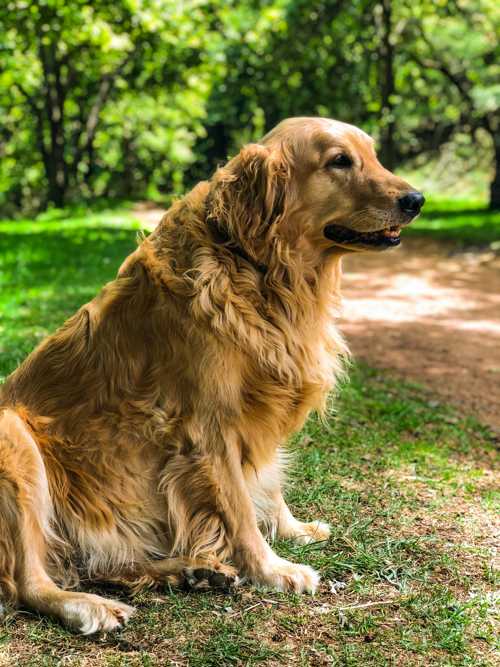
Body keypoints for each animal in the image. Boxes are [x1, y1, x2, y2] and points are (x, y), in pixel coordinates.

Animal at [0, 117, 422, 636]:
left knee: (100, 565)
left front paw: (292, 530)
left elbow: (268, 484)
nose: (417, 199)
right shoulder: (209, 427)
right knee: (28, 582)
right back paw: (89, 605)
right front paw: (272, 569)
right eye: (340, 161)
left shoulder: (259, 412)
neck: (257, 268)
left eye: (373, 155)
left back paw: (191, 571)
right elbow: (238, 507)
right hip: (15, 437)